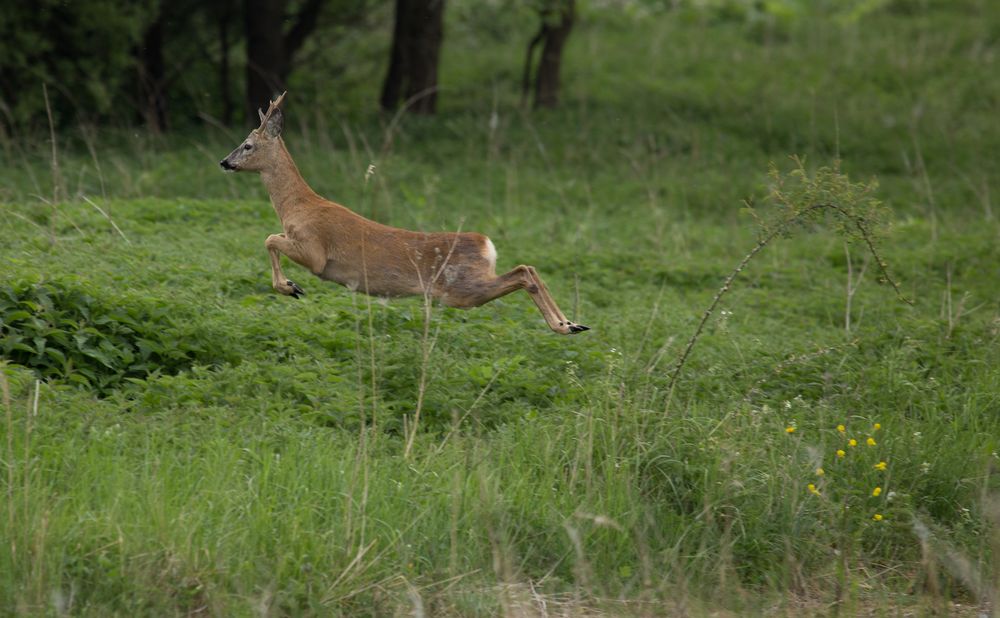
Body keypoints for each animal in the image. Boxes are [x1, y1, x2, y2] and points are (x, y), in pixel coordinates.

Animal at [221, 91, 584, 332]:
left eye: (248, 145)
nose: (225, 161)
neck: (296, 206)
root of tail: (486, 244)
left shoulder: (315, 252)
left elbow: (269, 238)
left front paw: (290, 287)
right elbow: (270, 237)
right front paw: (290, 286)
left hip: (458, 288)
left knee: (523, 272)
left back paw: (563, 325)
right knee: (529, 267)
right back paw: (572, 323)